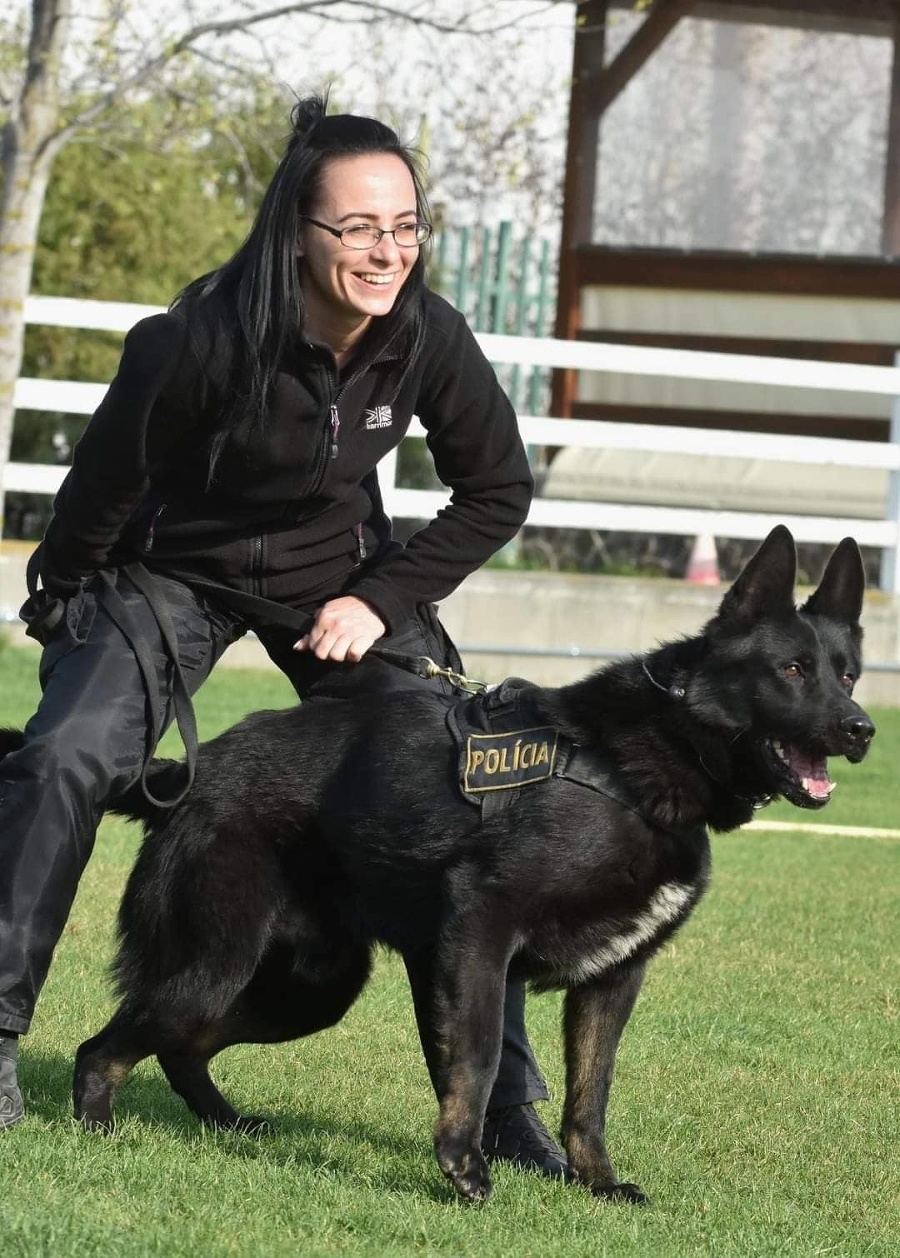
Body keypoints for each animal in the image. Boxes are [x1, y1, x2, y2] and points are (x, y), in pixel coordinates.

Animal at [7, 520, 871, 1197]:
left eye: (849, 673)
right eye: (792, 671)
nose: (862, 729)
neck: (643, 760)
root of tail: (189, 774)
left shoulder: (612, 981)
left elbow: (590, 1095)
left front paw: (594, 1183)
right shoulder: (481, 933)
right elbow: (480, 1059)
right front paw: (463, 1168)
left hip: (308, 990)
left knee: (180, 1047)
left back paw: (227, 1125)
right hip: (212, 967)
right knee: (107, 1046)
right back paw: (97, 1133)